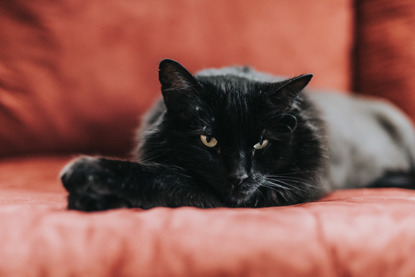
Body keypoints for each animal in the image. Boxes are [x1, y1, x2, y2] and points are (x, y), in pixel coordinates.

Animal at [60, 58, 415, 209]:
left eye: (261, 142)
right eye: (208, 139)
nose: (239, 176)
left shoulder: (283, 190)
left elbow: (169, 179)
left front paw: (88, 176)